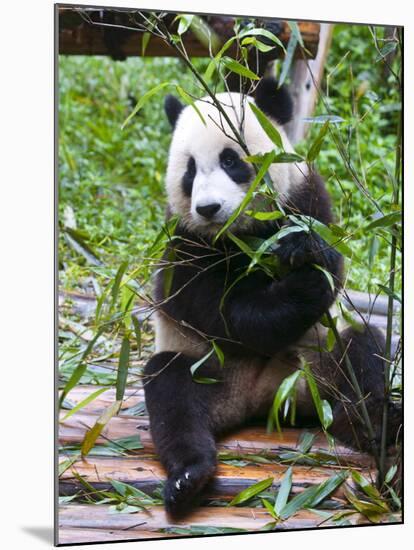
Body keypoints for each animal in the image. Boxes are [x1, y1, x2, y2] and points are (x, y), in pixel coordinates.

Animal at [143, 76, 402, 516]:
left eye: (231, 160)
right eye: (189, 171)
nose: (208, 208)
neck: (243, 233)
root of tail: (269, 400)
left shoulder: (304, 193)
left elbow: (329, 258)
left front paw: (304, 252)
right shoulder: (185, 240)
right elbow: (220, 312)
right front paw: (301, 287)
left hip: (323, 359)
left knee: (363, 352)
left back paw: (379, 425)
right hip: (209, 369)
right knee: (171, 391)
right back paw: (188, 477)